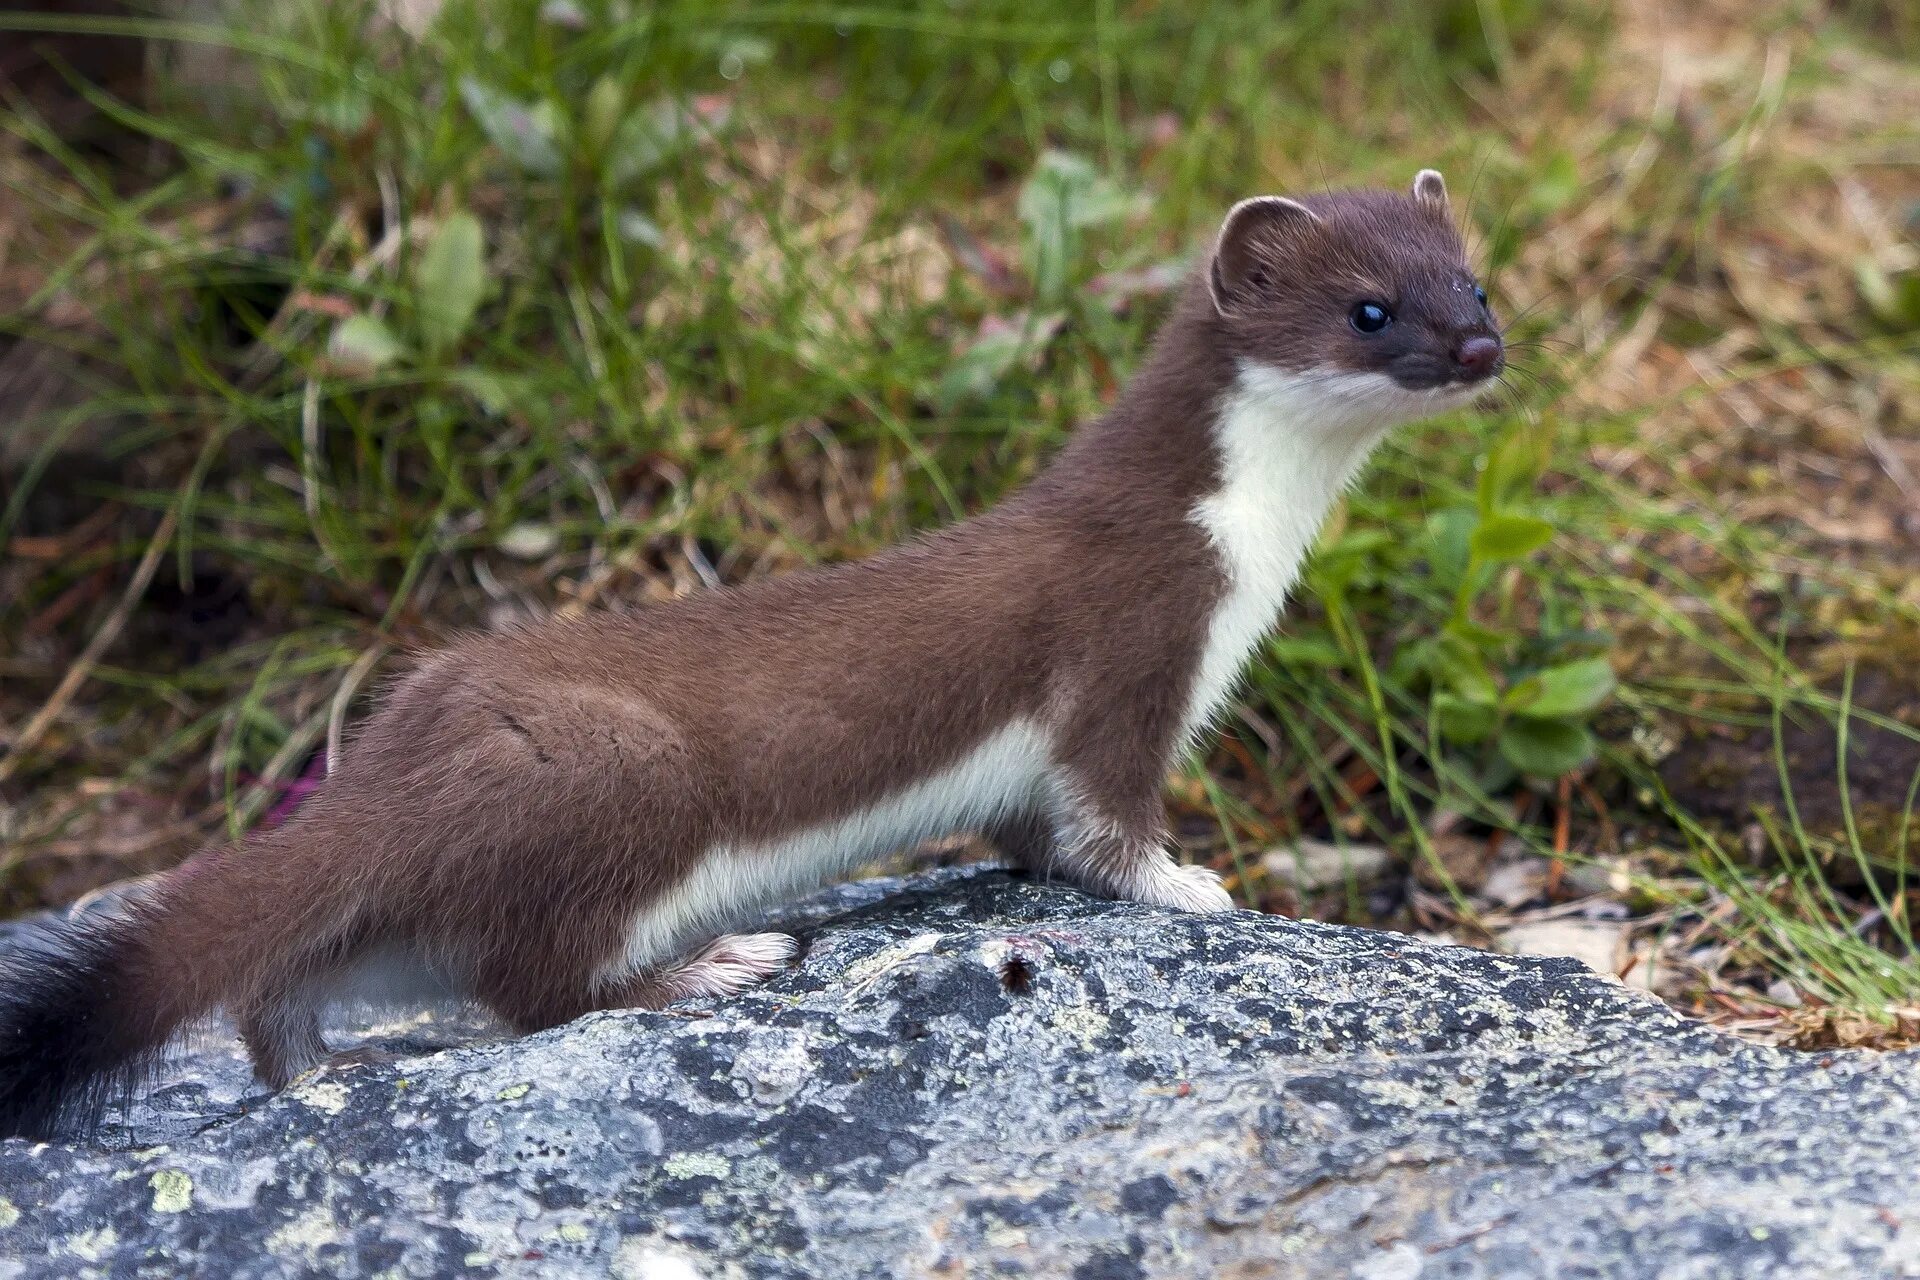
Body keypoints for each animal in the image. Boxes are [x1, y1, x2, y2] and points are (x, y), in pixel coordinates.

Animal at [0, 172, 1497, 1143]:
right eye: (1370, 308)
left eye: (1474, 276)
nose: (1483, 344)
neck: (1251, 549)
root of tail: (401, 748)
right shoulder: (1132, 648)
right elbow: (1104, 818)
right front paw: (1187, 881)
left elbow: (1030, 830)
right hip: (627, 780)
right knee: (533, 987)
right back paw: (720, 962)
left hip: (393, 887)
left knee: (295, 965)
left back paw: (311, 1067)